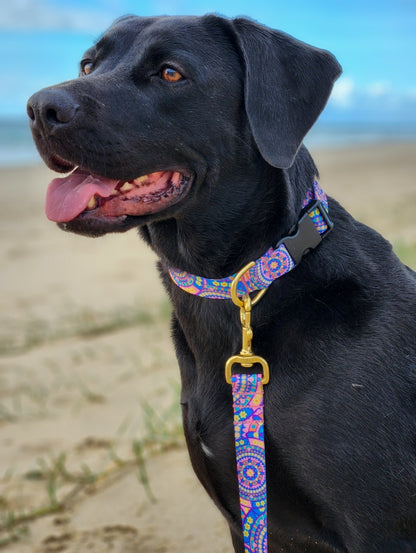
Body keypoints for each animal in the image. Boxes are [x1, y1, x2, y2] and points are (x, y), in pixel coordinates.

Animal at [26, 14, 416, 552]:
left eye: (170, 73)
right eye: (88, 64)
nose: (39, 109)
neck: (237, 281)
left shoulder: (380, 529)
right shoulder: (243, 519)